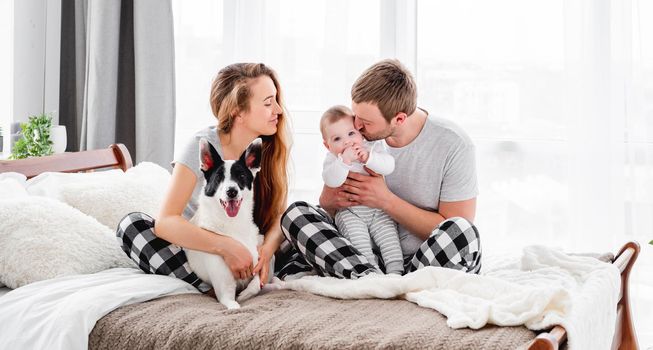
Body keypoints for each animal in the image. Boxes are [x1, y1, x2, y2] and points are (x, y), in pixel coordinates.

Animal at [185, 137, 266, 308]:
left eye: (241, 176)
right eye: (218, 178)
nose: (232, 191)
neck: (232, 224)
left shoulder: (257, 266)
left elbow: (256, 283)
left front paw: (245, 294)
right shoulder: (225, 293)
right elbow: (234, 304)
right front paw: (241, 298)